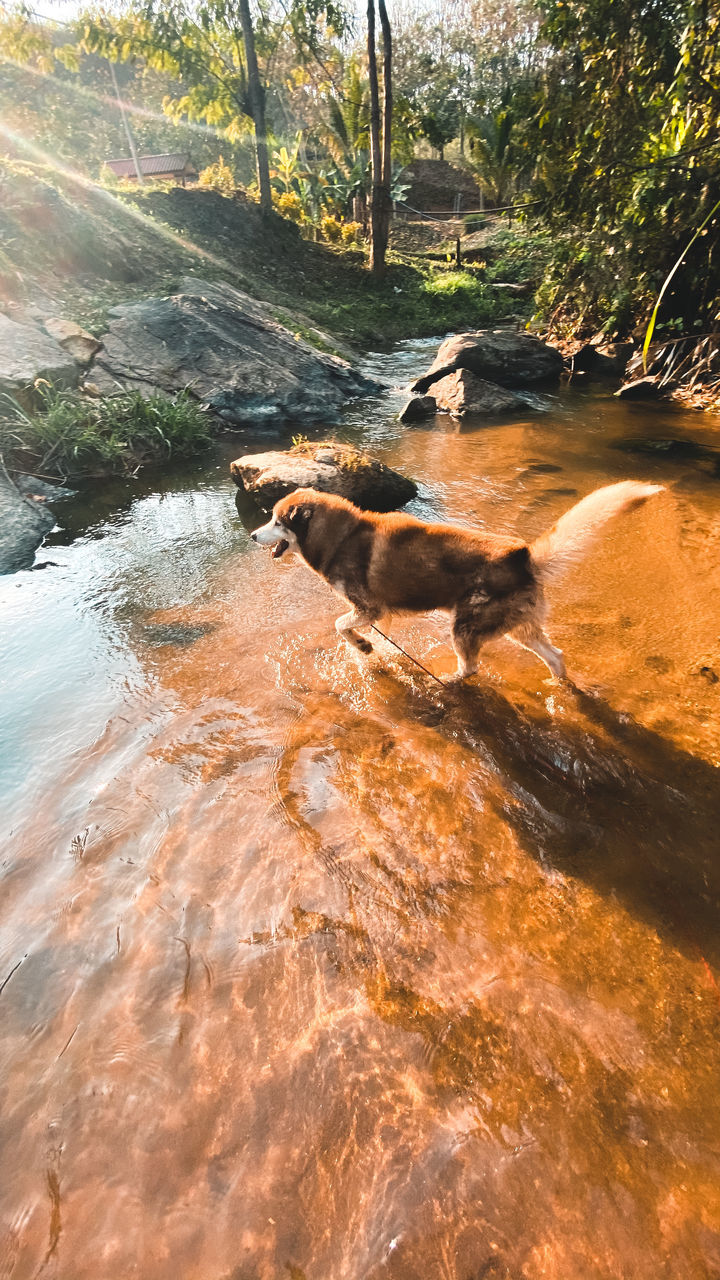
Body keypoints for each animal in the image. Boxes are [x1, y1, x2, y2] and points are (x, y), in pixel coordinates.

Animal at [249, 481, 661, 680]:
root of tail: (523, 555)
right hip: (518, 628)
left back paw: (449, 680)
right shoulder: (379, 613)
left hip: (465, 627)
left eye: (276, 521)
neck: (342, 536)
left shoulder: (369, 608)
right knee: (556, 656)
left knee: (471, 668)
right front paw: (370, 651)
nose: (252, 536)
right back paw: (559, 686)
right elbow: (359, 633)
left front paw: (363, 648)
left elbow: (339, 625)